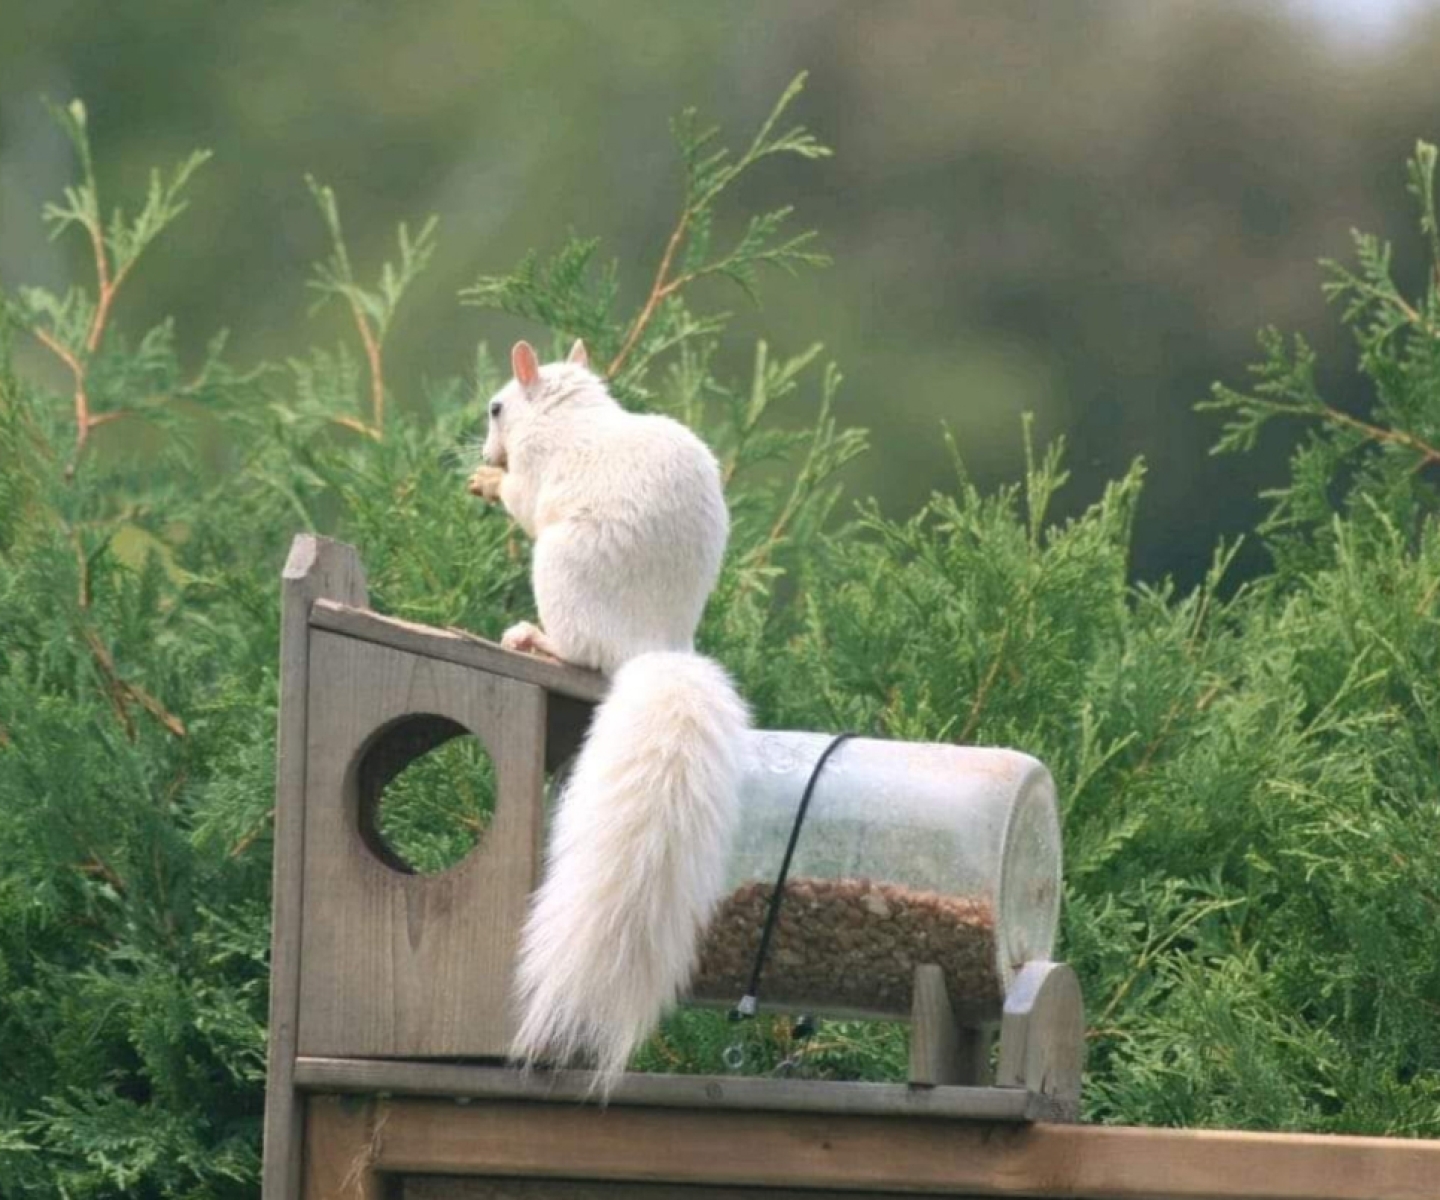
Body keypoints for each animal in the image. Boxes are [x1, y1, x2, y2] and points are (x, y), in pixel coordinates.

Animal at [469, 337, 748, 1083]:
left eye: (496, 408)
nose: (487, 449)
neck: (569, 413)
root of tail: (651, 645)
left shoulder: (542, 469)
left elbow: (525, 499)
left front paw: (490, 484)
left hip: (560, 568)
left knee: (578, 651)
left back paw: (534, 638)